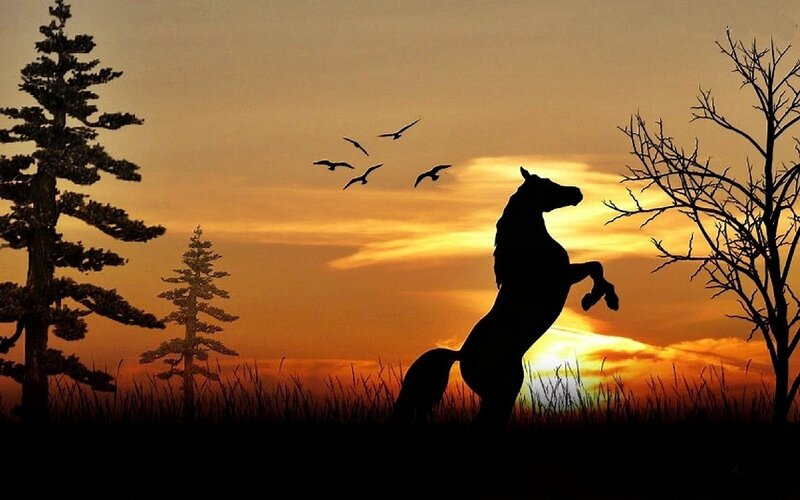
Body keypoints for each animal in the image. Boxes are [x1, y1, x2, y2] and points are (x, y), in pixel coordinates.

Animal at [391, 166, 619, 430]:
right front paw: (599, 299)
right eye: (547, 185)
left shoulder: (566, 276)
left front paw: (601, 299)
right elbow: (596, 267)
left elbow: (596, 266)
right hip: (503, 390)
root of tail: (460, 354)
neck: (527, 248)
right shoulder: (563, 276)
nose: (577, 192)